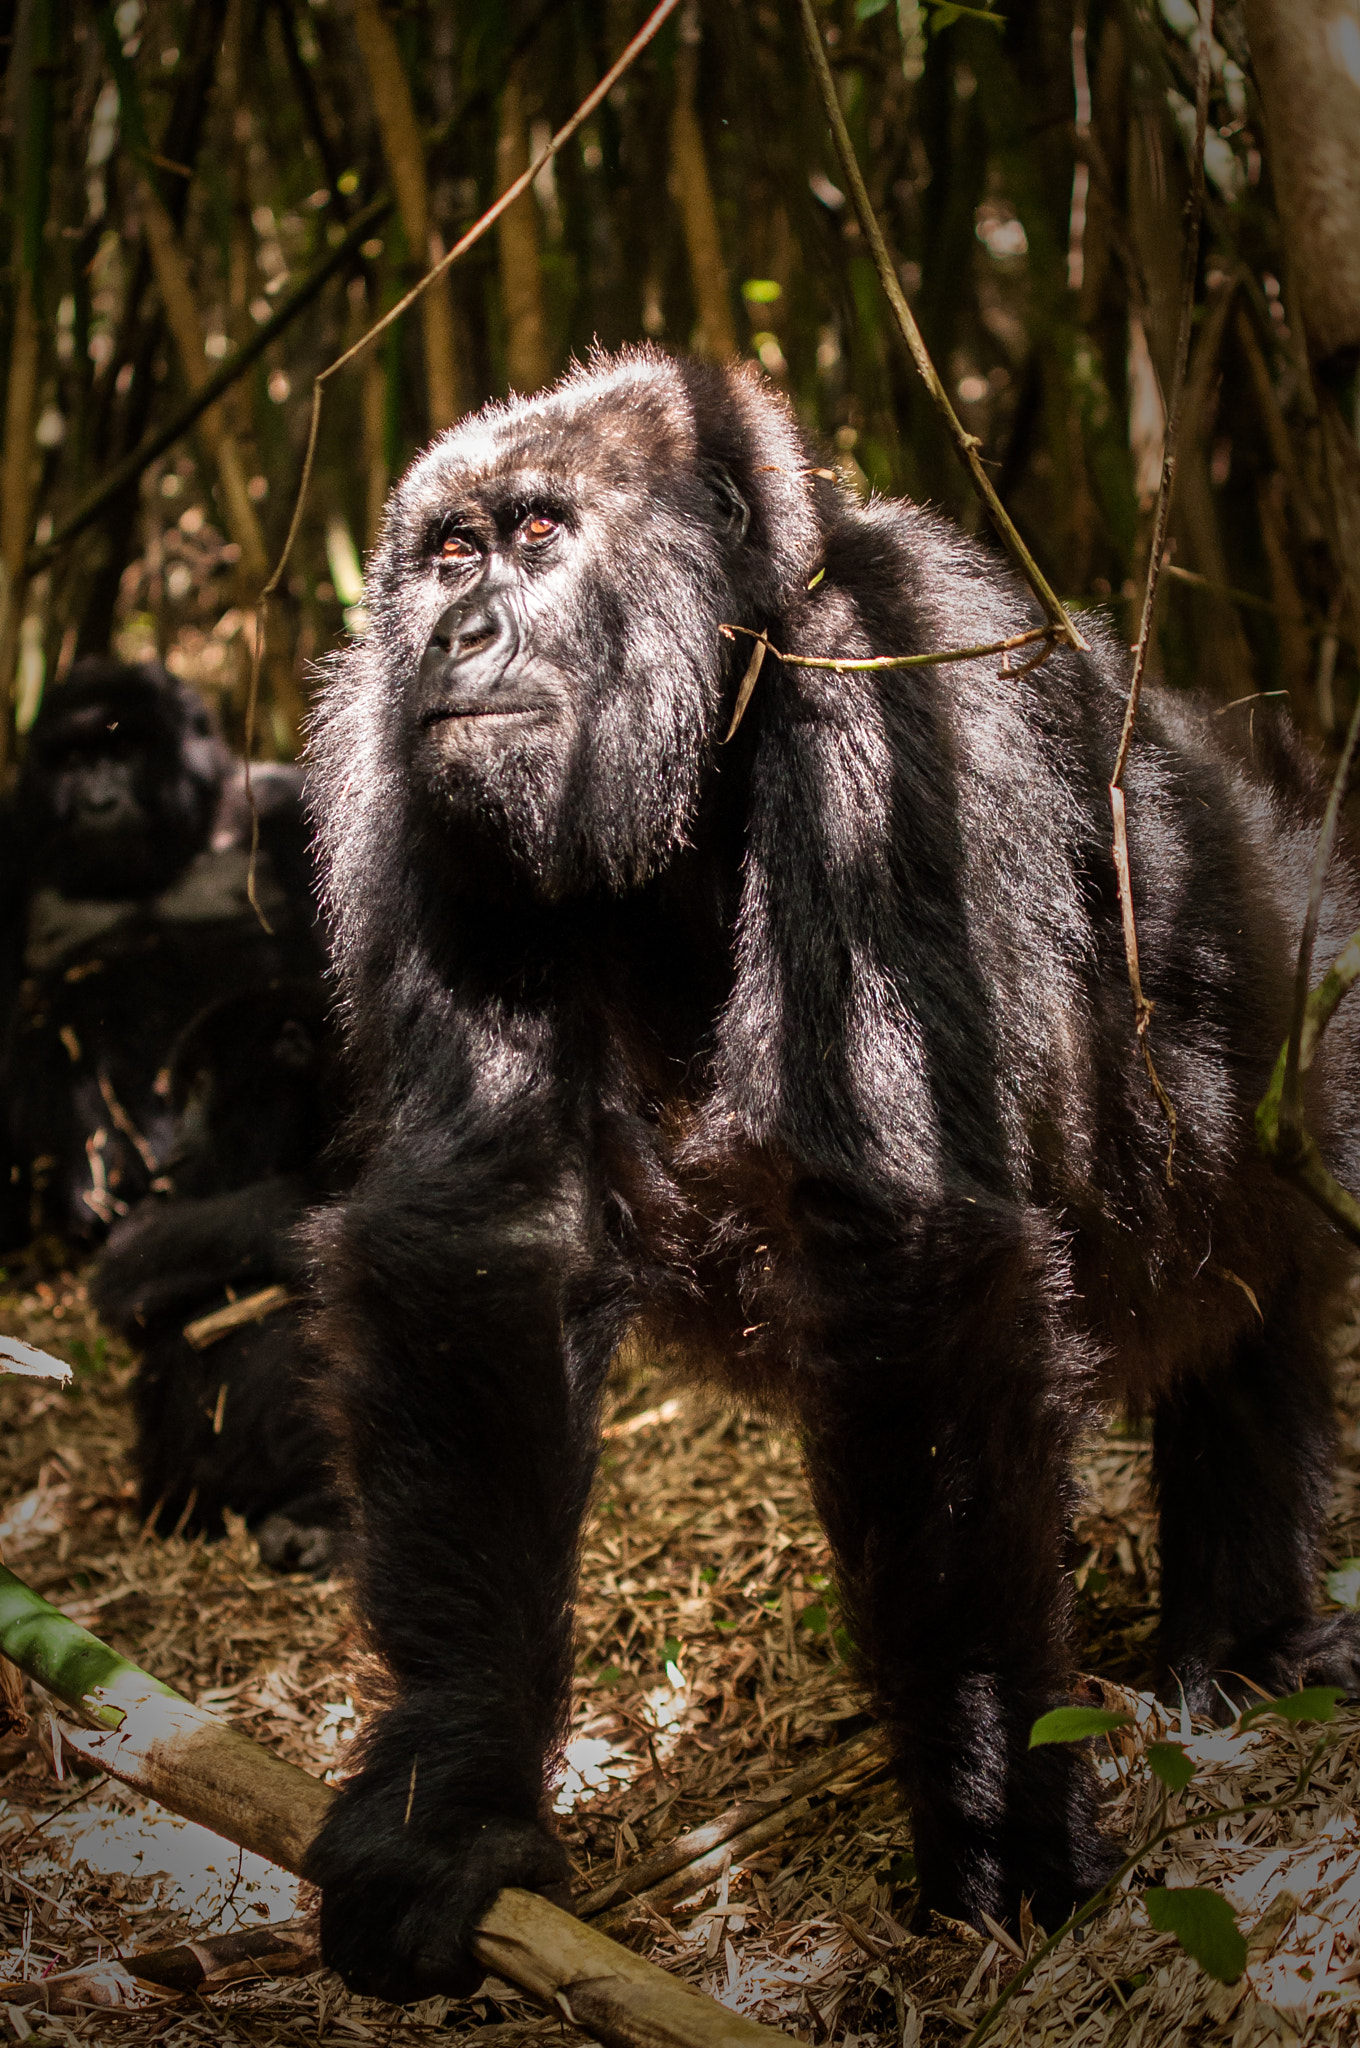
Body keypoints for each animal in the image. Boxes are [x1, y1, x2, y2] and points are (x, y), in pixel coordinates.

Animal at [301, 352, 1360, 1998]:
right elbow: (489, 1232)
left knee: (1255, 1281)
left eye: (542, 533)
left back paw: (1244, 1645)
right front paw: (454, 1797)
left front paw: (993, 1800)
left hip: (1304, 973)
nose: (459, 635)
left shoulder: (890, 696)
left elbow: (900, 1245)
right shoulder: (412, 780)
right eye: (450, 553)